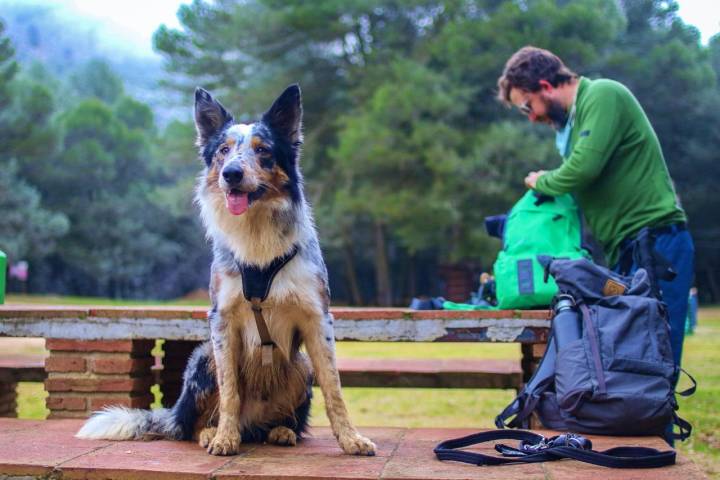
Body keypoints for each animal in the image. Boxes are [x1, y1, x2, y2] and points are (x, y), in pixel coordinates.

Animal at [78, 84, 376, 456]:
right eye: (223, 150)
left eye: (262, 150)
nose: (231, 173)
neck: (257, 237)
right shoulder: (222, 320)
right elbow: (230, 389)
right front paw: (224, 438)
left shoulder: (317, 318)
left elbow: (334, 389)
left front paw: (351, 439)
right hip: (203, 356)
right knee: (191, 426)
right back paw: (211, 432)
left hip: (300, 365)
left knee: (279, 420)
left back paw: (280, 431)